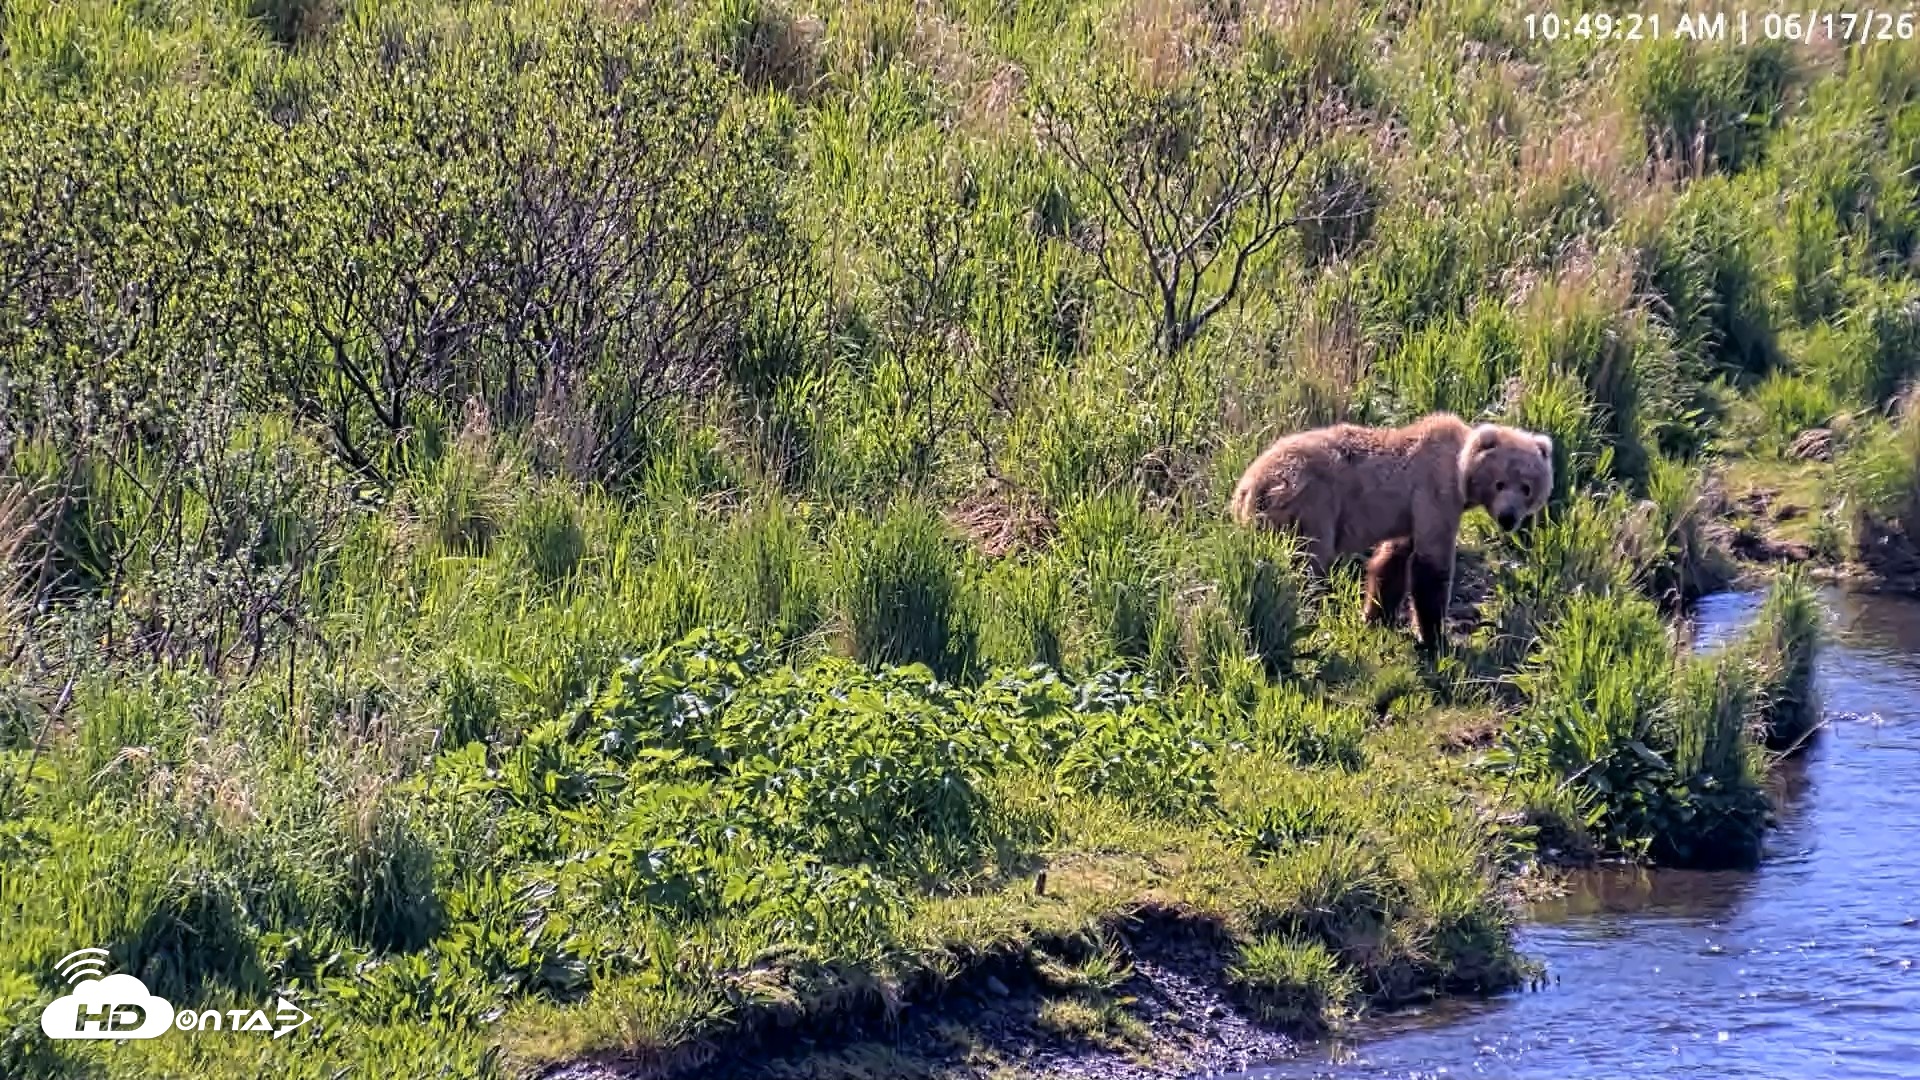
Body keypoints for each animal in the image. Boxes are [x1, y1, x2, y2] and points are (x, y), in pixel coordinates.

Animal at [1230, 413, 1554, 650]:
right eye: (1500, 483)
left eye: (1526, 487)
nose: (1509, 517)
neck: (1461, 471)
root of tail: (1248, 487)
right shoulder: (1434, 491)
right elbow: (1431, 566)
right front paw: (1435, 638)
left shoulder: (1409, 513)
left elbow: (1393, 560)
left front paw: (1377, 615)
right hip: (1310, 506)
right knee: (1307, 562)